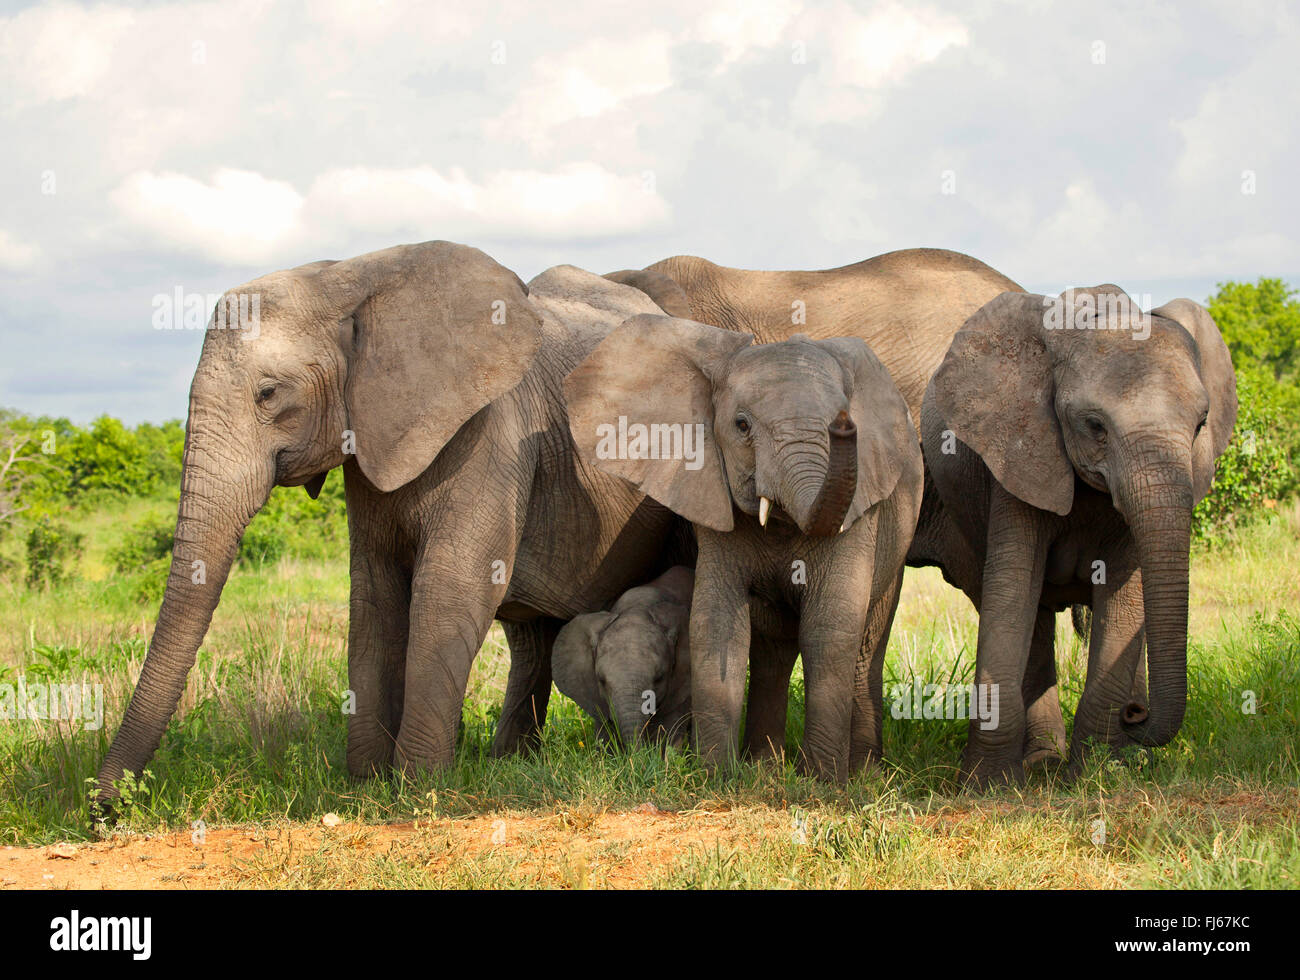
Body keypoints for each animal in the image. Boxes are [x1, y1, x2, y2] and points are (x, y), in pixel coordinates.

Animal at [569, 318, 925, 779]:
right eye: (741, 426)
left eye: (841, 419)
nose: (846, 423)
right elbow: (718, 623)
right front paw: (715, 777)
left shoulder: (860, 509)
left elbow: (829, 624)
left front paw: (823, 784)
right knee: (772, 651)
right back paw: (765, 768)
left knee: (866, 645)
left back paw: (863, 775)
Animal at [925, 284, 1237, 785]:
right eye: (1095, 426)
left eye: (1201, 425)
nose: (1137, 715)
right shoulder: (1018, 455)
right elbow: (1012, 592)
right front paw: (984, 785)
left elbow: (1126, 597)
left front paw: (1098, 775)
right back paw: (1041, 763)